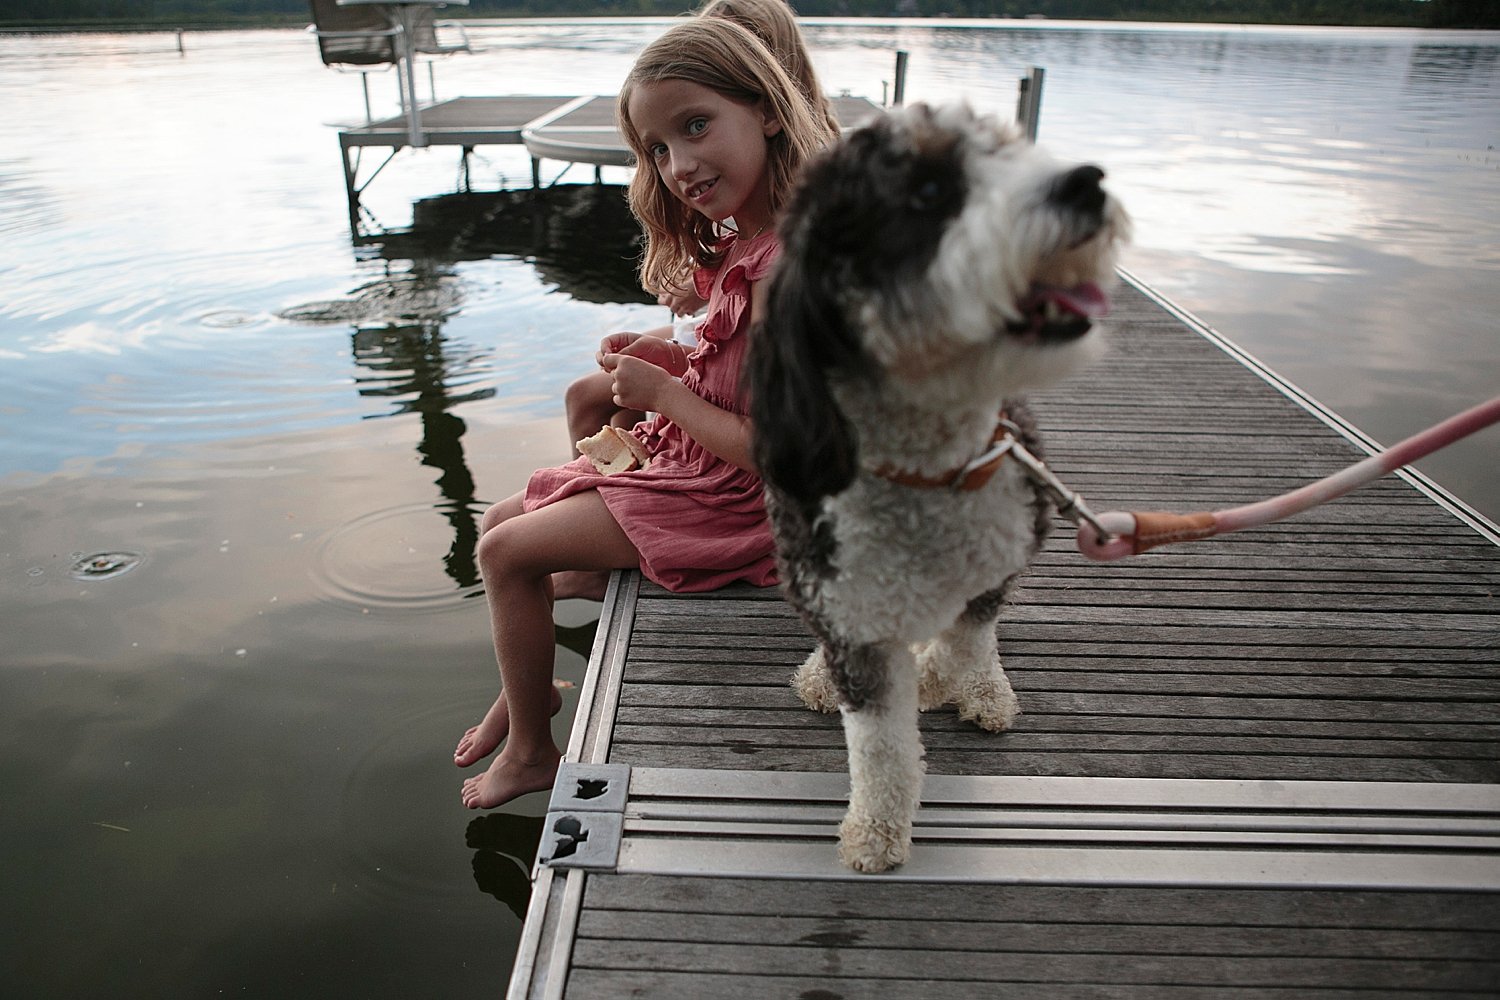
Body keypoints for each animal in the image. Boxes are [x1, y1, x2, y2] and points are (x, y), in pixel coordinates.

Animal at [750, 101, 1128, 869]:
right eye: (926, 192)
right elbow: (881, 745)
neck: (931, 472)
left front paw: (945, 682)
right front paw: (876, 832)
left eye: (1013, 153)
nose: (1087, 182)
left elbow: (967, 640)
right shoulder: (851, 617)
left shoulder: (995, 564)